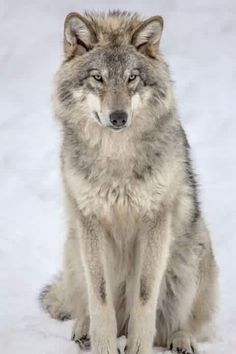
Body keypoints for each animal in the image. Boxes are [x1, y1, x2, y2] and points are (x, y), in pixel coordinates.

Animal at [39, 10, 218, 354]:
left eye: (132, 77)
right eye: (98, 78)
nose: (119, 117)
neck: (117, 158)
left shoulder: (155, 220)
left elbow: (146, 295)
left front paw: (137, 345)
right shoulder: (90, 220)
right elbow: (100, 296)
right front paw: (104, 345)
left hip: (191, 252)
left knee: (186, 324)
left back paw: (181, 339)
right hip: (74, 247)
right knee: (83, 305)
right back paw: (83, 330)